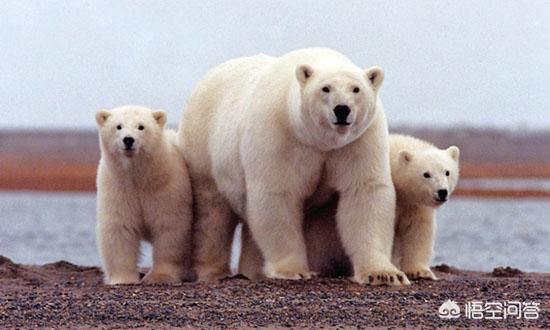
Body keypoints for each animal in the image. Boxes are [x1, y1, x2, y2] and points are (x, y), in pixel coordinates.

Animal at [181, 47, 410, 284]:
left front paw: (384, 274)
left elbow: (364, 192)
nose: (342, 109)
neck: (319, 141)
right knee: (212, 212)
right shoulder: (280, 135)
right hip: (203, 146)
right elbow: (277, 194)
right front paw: (294, 270)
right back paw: (213, 271)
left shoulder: (358, 141)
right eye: (325, 88)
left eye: (356, 89)